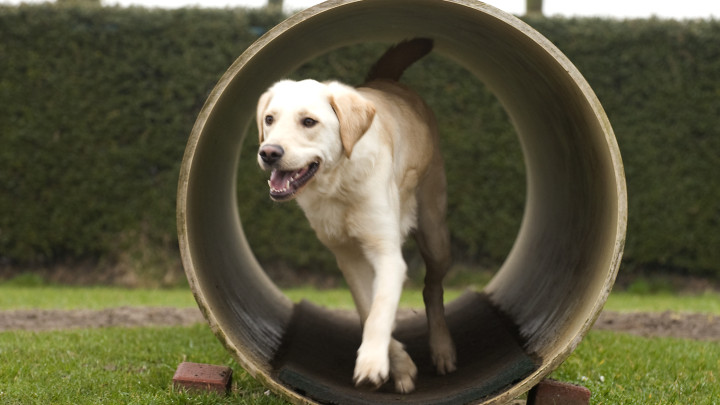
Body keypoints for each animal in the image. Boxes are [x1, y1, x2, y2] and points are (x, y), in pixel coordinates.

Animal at [256, 39, 452, 392]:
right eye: (269, 119)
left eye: (309, 122)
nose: (269, 152)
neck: (338, 182)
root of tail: (386, 81)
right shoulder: (347, 256)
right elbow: (367, 308)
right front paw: (400, 366)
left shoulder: (386, 253)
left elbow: (380, 310)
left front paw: (372, 364)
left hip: (434, 235)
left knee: (432, 288)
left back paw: (442, 350)